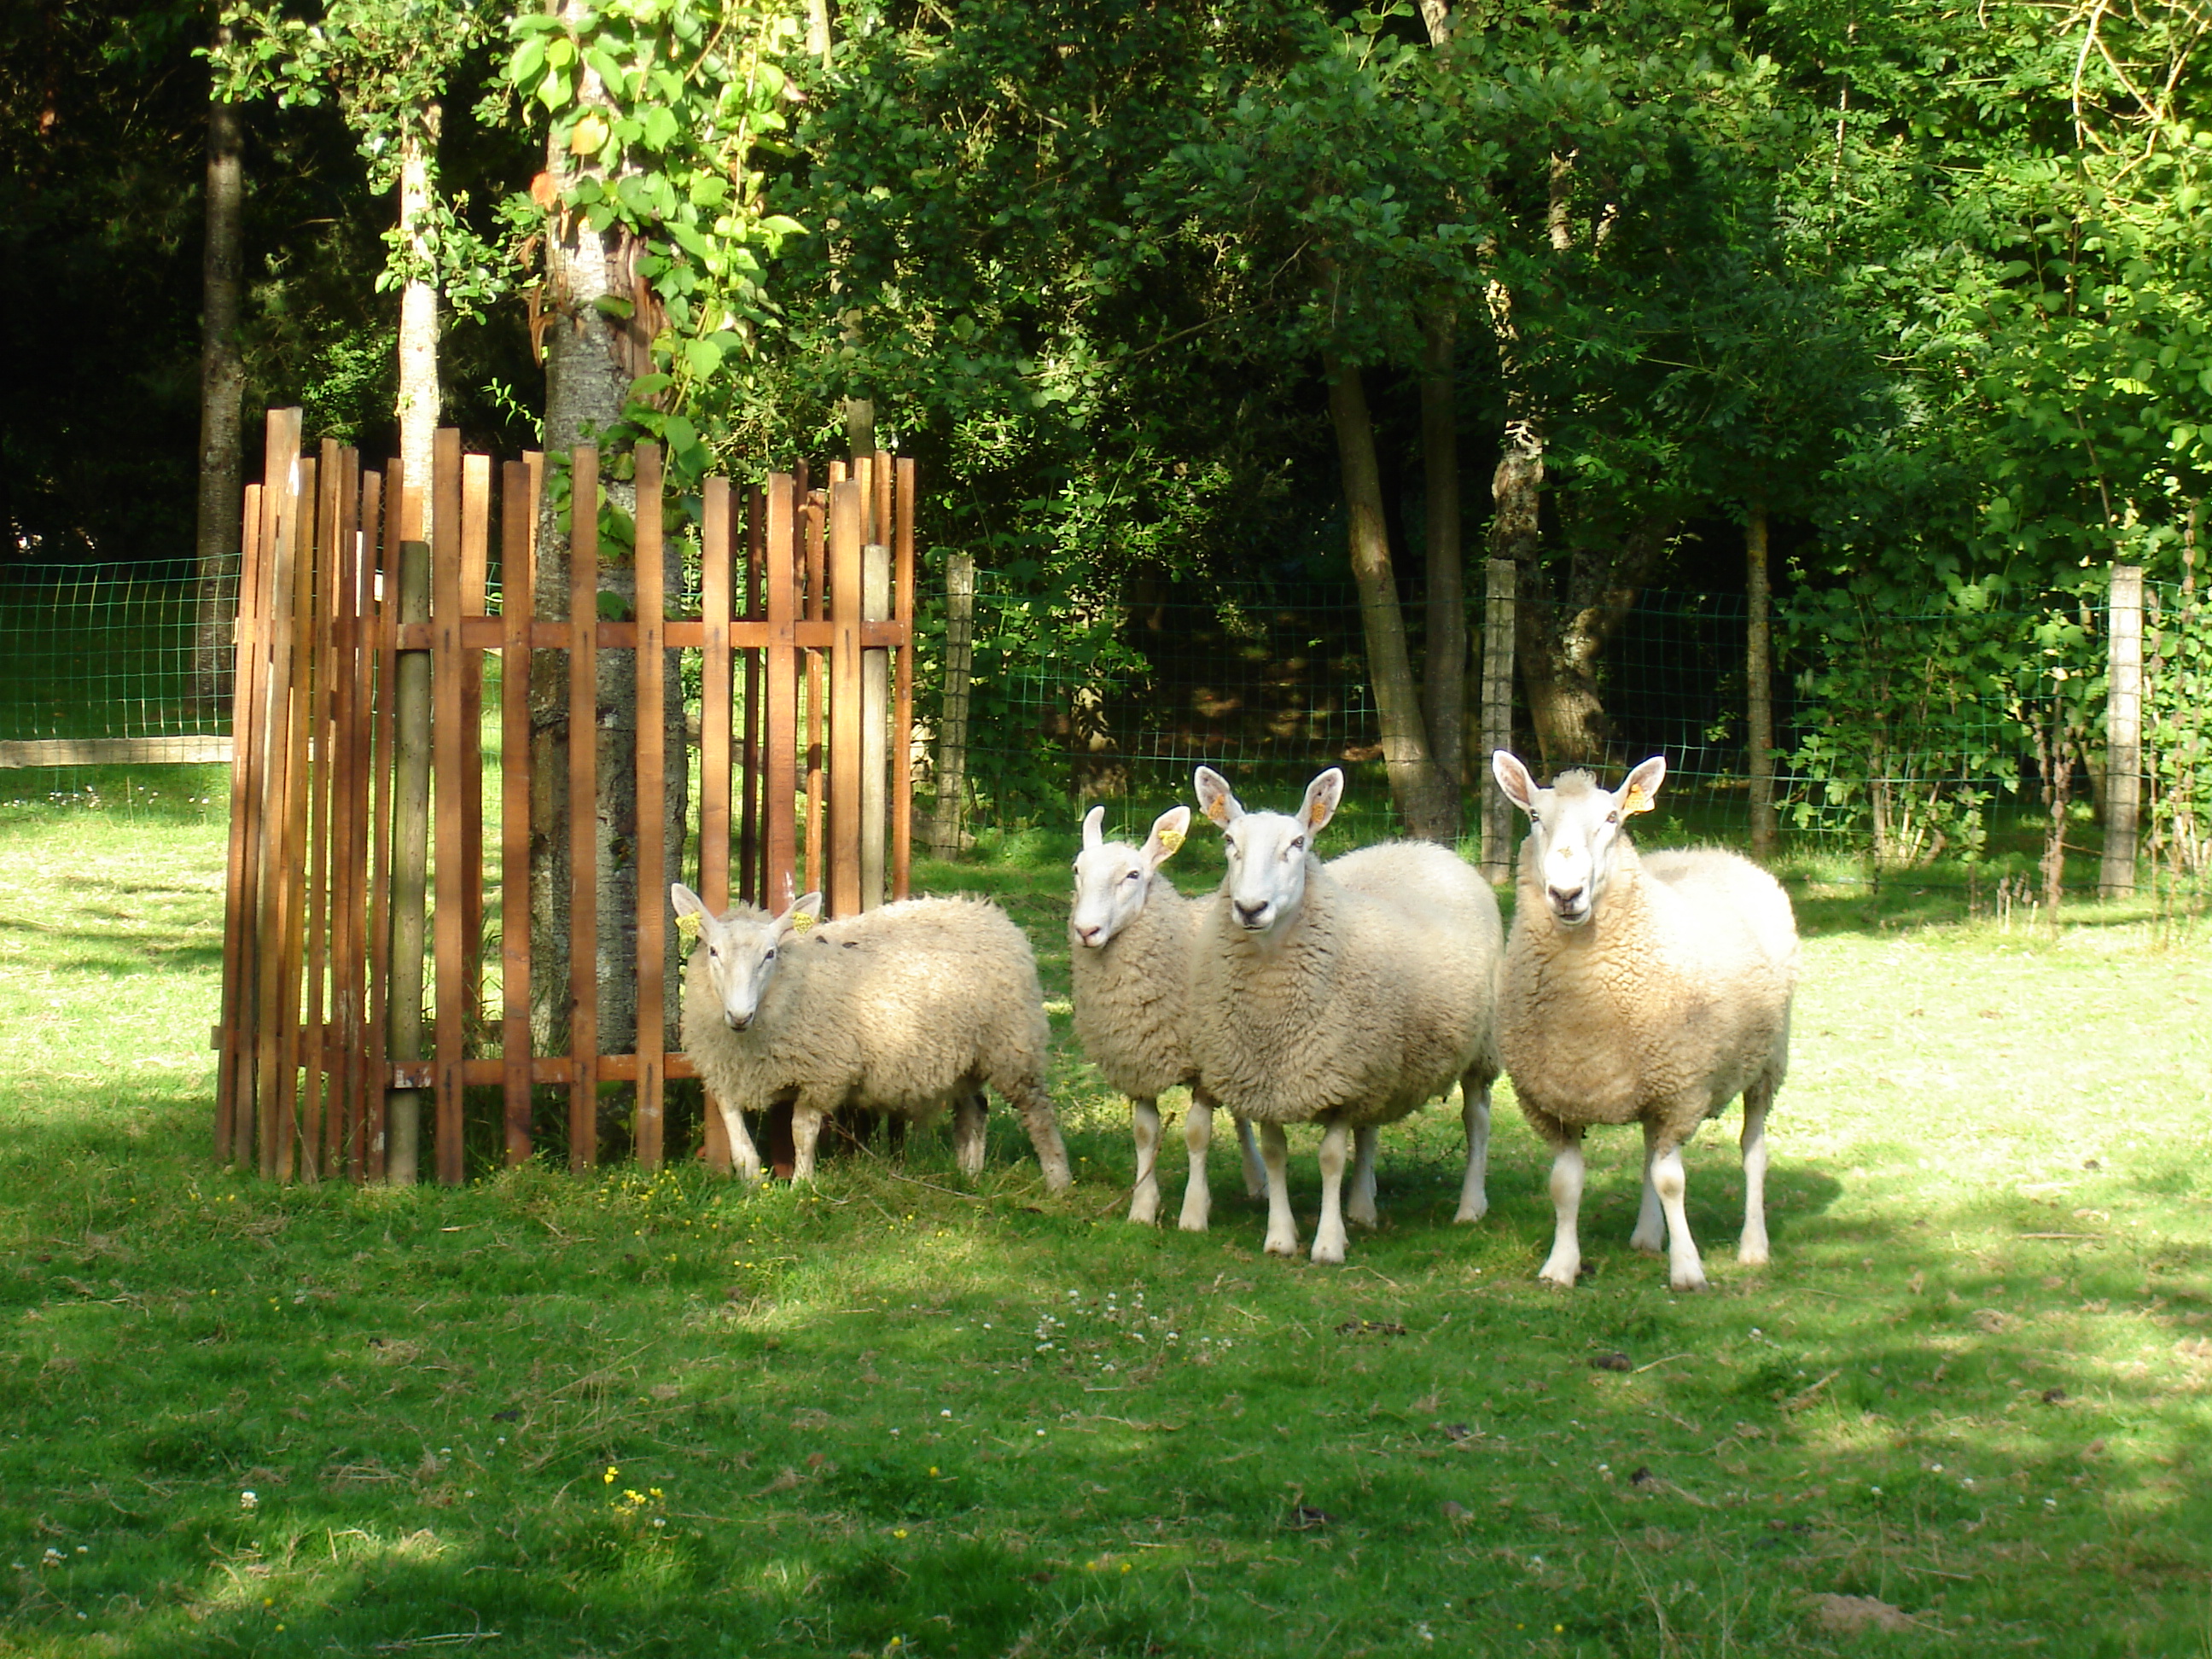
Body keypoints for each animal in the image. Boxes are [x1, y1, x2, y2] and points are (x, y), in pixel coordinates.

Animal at [671, 884, 1073, 1193]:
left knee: (1037, 1111)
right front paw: (752, 1182)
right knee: (975, 1109)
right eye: (713, 951)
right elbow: (735, 1130)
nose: (739, 1016)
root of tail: (987, 911)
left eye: (770, 954)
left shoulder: (823, 1075)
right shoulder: (721, 1070)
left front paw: (802, 1186)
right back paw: (969, 1174)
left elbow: (802, 1131)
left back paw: (1058, 1182)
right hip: (966, 1055)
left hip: (1013, 1044)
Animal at [1068, 803, 1265, 1228]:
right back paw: (1258, 1180)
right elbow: (1145, 1133)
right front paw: (1143, 1208)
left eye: (1133, 875)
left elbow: (1197, 1135)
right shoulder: (1138, 1061)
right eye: (1077, 870)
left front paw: (1193, 1214)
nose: (1086, 930)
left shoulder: (1205, 1068)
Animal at [1184, 766, 1505, 1264]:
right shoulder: (1272, 1078)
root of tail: (1421, 847)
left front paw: (1328, 1243)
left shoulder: (1337, 1080)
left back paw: (1470, 1206)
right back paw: (1362, 1205)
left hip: (1479, 1049)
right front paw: (1281, 1237)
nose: (1250, 909)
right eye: (1229, 842)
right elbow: (1275, 1155)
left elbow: (1330, 1159)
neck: (1271, 1007)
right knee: (1370, 1130)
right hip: (1379, 1061)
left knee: (1477, 1121)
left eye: (1298, 843)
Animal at [1490, 751, 1798, 1292]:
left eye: (1613, 818)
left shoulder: (1681, 1092)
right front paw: (1560, 1267)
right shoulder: (1551, 1102)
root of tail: (1717, 851)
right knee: (1650, 1151)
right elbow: (1565, 1185)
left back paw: (1753, 1246)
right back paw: (1648, 1236)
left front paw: (1688, 1270)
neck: (1585, 1010)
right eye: (1534, 817)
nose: (1565, 894)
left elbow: (1672, 1181)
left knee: (1752, 1151)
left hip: (1767, 1063)